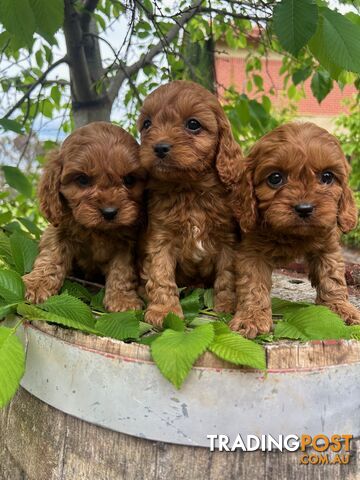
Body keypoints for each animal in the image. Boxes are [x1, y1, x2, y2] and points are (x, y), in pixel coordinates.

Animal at [23, 121, 146, 312]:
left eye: (129, 180)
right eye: (82, 179)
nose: (109, 212)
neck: (97, 231)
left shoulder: (126, 243)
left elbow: (122, 270)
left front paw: (122, 300)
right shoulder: (59, 229)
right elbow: (51, 256)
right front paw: (38, 284)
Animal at [137, 80, 242, 326]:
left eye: (193, 124)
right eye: (147, 124)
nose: (159, 147)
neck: (190, 189)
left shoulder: (228, 241)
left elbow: (227, 276)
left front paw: (225, 307)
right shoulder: (160, 239)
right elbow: (161, 275)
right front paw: (164, 312)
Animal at [226, 121, 358, 338]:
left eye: (327, 177)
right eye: (275, 178)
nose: (304, 208)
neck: (291, 234)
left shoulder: (327, 246)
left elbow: (332, 278)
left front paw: (340, 308)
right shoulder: (251, 252)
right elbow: (253, 285)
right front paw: (251, 319)